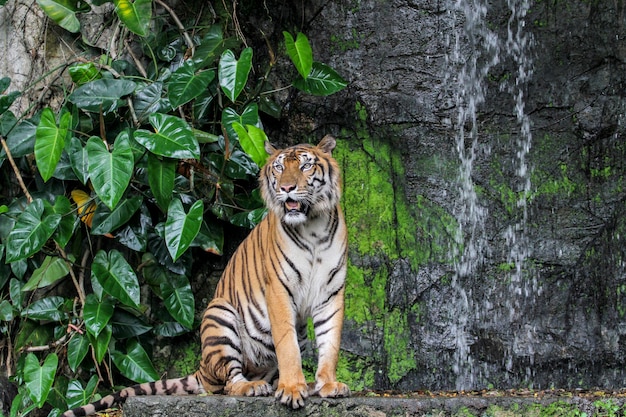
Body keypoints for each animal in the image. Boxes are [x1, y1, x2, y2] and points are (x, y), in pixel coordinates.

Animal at [63, 135, 352, 414]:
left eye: (305, 166)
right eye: (279, 168)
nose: (286, 188)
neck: (312, 227)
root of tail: (201, 366)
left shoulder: (331, 292)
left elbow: (330, 342)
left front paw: (328, 384)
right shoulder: (279, 290)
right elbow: (287, 345)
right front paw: (292, 389)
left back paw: (302, 384)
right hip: (220, 314)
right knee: (228, 383)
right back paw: (255, 387)